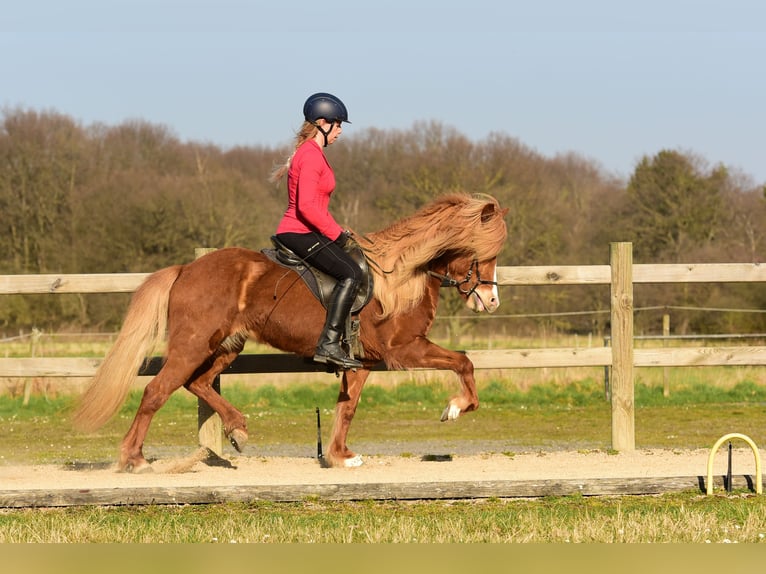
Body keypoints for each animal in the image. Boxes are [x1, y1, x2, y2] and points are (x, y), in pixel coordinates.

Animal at [73, 192, 509, 472]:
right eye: (484, 255)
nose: (491, 302)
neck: (401, 275)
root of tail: (185, 270)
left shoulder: (363, 361)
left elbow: (347, 407)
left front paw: (340, 455)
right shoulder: (404, 349)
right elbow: (464, 362)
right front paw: (455, 408)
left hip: (227, 345)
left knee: (199, 383)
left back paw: (237, 429)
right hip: (193, 344)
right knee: (157, 391)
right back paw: (134, 459)